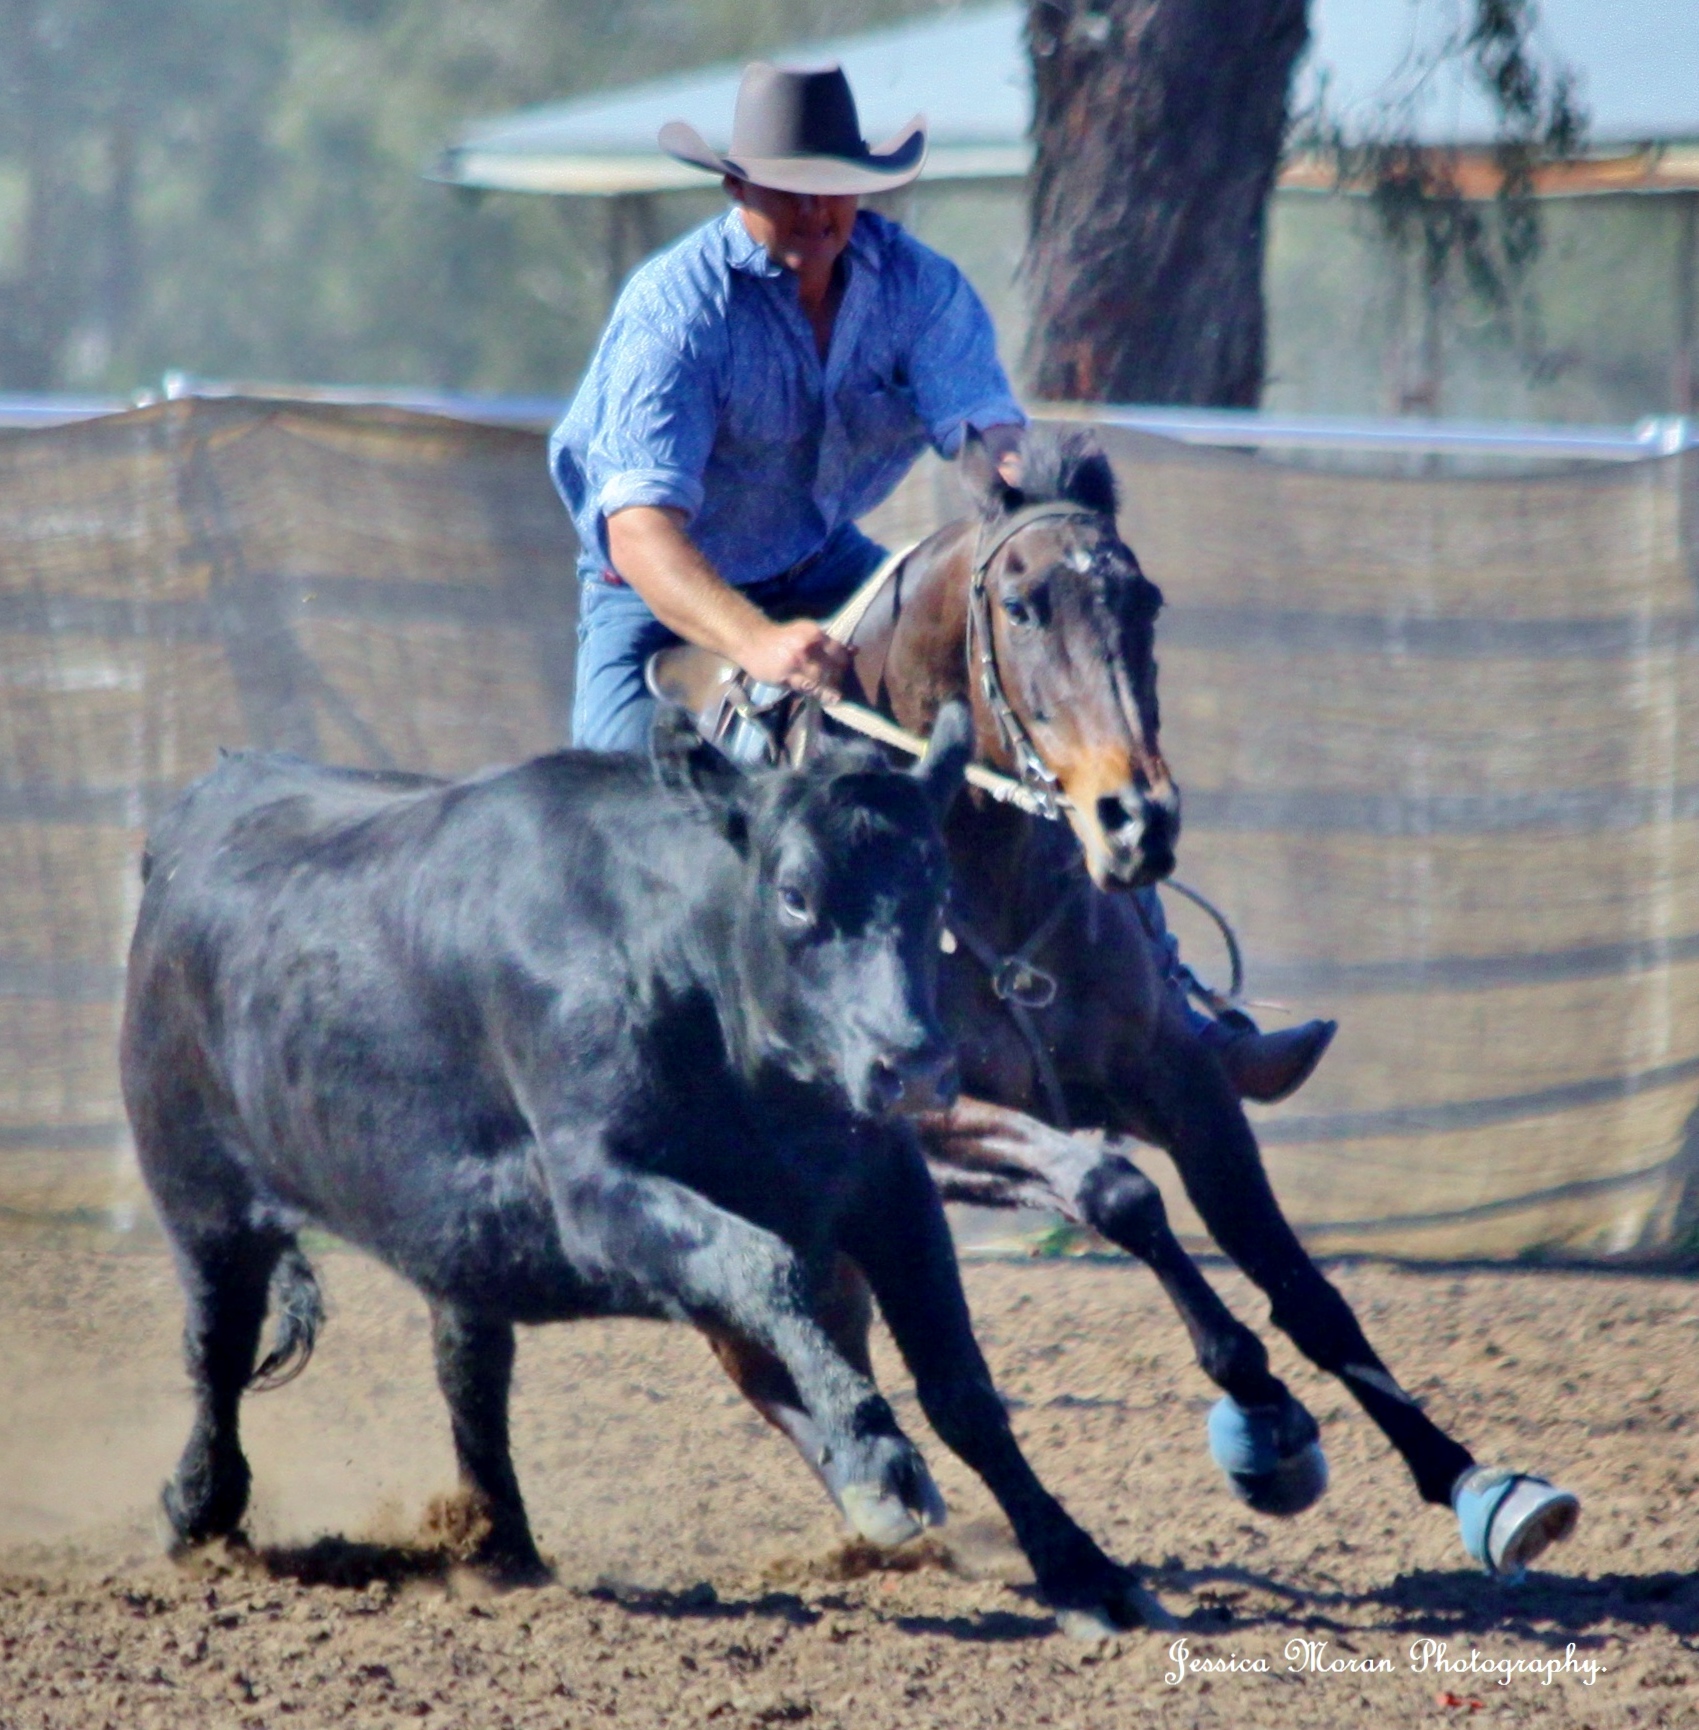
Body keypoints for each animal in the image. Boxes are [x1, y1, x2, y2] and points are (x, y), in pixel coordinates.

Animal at [656, 423, 1579, 1582]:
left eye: (1144, 603)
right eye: (1019, 607)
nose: (1137, 819)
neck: (975, 873)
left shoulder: (1179, 1079)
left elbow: (1302, 1285)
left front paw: (1475, 1482)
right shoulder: (925, 1117)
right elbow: (1117, 1192)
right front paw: (1262, 1412)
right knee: (768, 1363)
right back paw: (886, 1503)